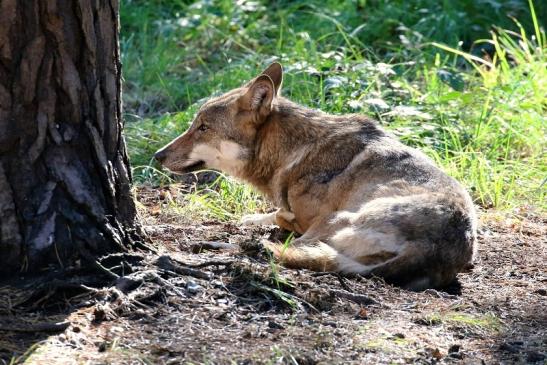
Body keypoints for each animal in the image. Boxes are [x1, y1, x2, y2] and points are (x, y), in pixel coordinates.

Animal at [156, 63, 478, 290]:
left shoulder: (307, 218)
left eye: (203, 128)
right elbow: (269, 214)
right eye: (195, 125)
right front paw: (252, 218)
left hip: (334, 219)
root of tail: (431, 249)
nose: (157, 155)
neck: (293, 152)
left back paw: (222, 246)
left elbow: (281, 217)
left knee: (278, 249)